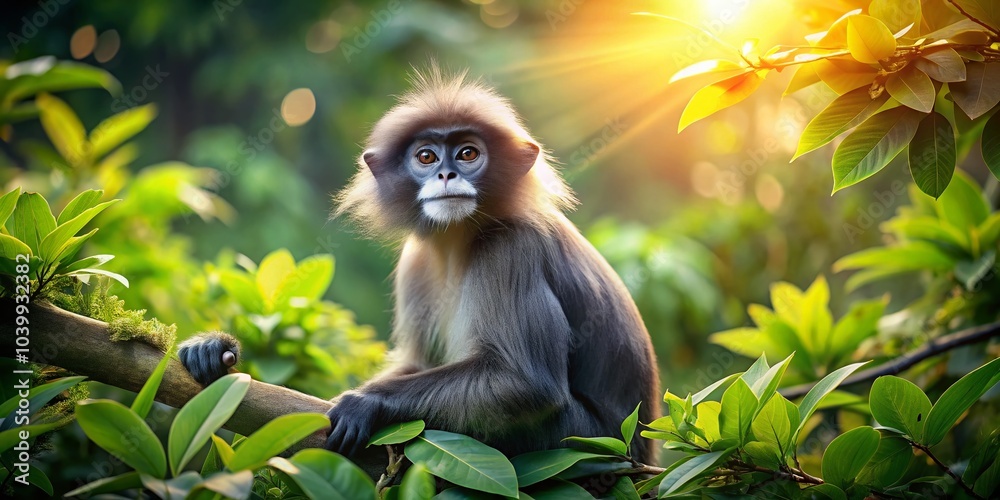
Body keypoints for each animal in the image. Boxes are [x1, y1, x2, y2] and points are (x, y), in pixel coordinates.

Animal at [179, 69, 661, 464]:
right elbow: (417, 361)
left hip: (583, 439)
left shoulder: (510, 247)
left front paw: (367, 403)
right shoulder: (416, 258)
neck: (459, 241)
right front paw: (216, 349)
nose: (447, 175)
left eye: (467, 154)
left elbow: (526, 382)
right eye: (426, 157)